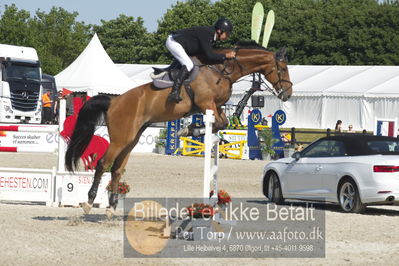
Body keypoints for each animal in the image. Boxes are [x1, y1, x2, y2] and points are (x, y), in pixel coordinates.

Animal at [64, 41, 292, 216]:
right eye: (283, 69)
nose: (287, 94)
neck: (222, 71)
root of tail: (113, 101)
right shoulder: (206, 103)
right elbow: (218, 124)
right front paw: (189, 131)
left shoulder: (216, 107)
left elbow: (223, 124)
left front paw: (191, 130)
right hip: (121, 138)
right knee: (103, 163)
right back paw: (89, 202)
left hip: (131, 139)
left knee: (117, 169)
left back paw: (111, 207)